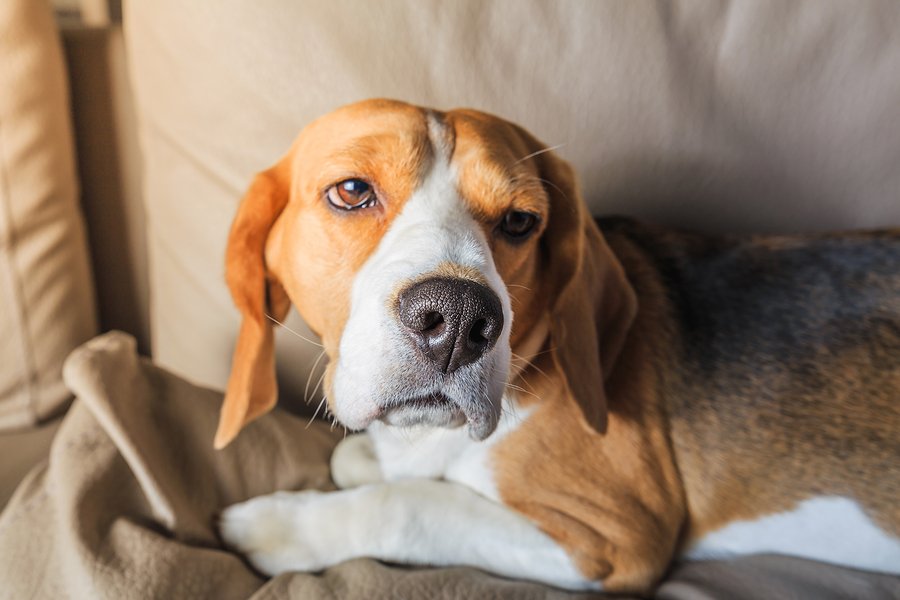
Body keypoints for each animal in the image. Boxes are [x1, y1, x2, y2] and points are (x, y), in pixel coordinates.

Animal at [214, 99, 896, 596]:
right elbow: (360, 461)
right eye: (352, 191)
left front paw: (284, 525)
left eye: (520, 221)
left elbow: (409, 503)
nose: (459, 319)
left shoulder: (616, 537)